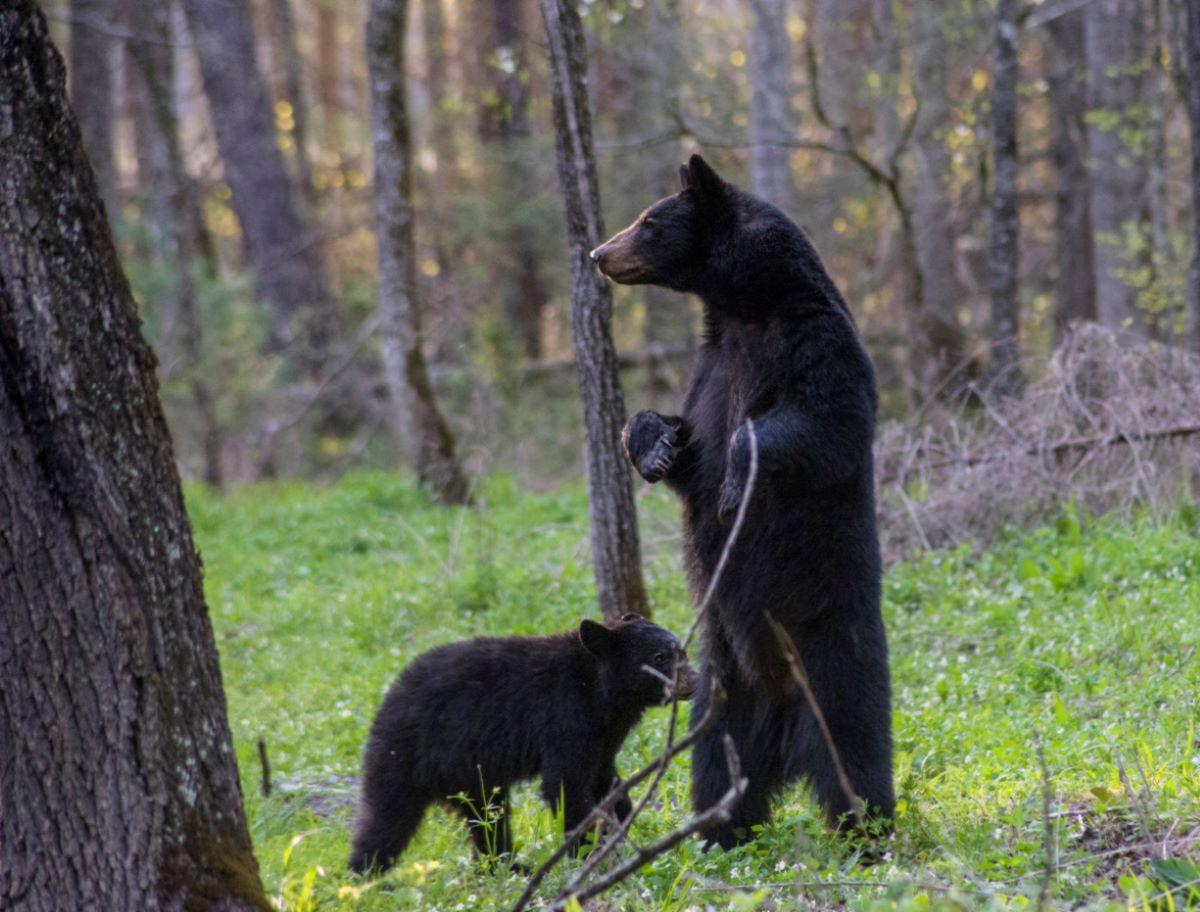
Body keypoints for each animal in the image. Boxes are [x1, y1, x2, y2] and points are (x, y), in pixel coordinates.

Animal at [350, 614, 696, 873]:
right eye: (660, 657)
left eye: (683, 651)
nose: (693, 680)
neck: (601, 690)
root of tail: (386, 701)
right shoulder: (564, 716)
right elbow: (565, 785)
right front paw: (588, 855)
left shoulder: (603, 734)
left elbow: (605, 777)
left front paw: (620, 821)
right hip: (406, 757)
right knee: (387, 819)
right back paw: (367, 877)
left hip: (470, 777)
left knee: (488, 818)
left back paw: (508, 867)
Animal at [590, 154, 892, 849]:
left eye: (649, 222)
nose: (598, 252)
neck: (745, 308)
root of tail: (782, 714)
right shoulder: (710, 369)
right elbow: (686, 443)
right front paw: (653, 445)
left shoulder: (816, 342)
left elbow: (822, 419)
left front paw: (738, 475)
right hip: (720, 676)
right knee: (715, 751)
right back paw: (716, 826)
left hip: (834, 640)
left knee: (852, 739)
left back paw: (866, 826)